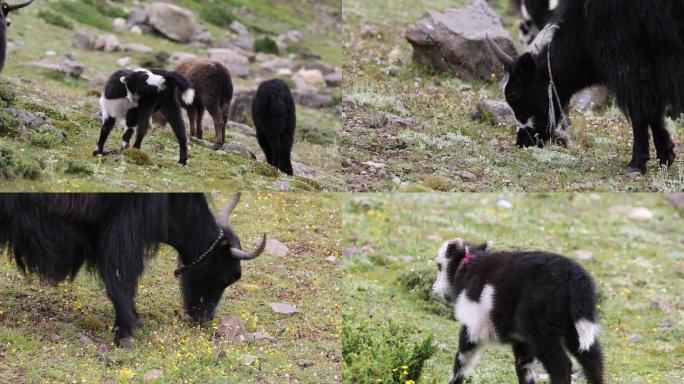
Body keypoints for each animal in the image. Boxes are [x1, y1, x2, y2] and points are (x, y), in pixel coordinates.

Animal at [432, 238, 604, 382]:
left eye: (439, 266)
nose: (434, 290)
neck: (467, 267)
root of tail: (575, 276)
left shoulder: (473, 325)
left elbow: (462, 361)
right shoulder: (521, 342)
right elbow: (525, 369)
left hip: (540, 330)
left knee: (561, 366)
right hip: (574, 328)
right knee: (593, 359)